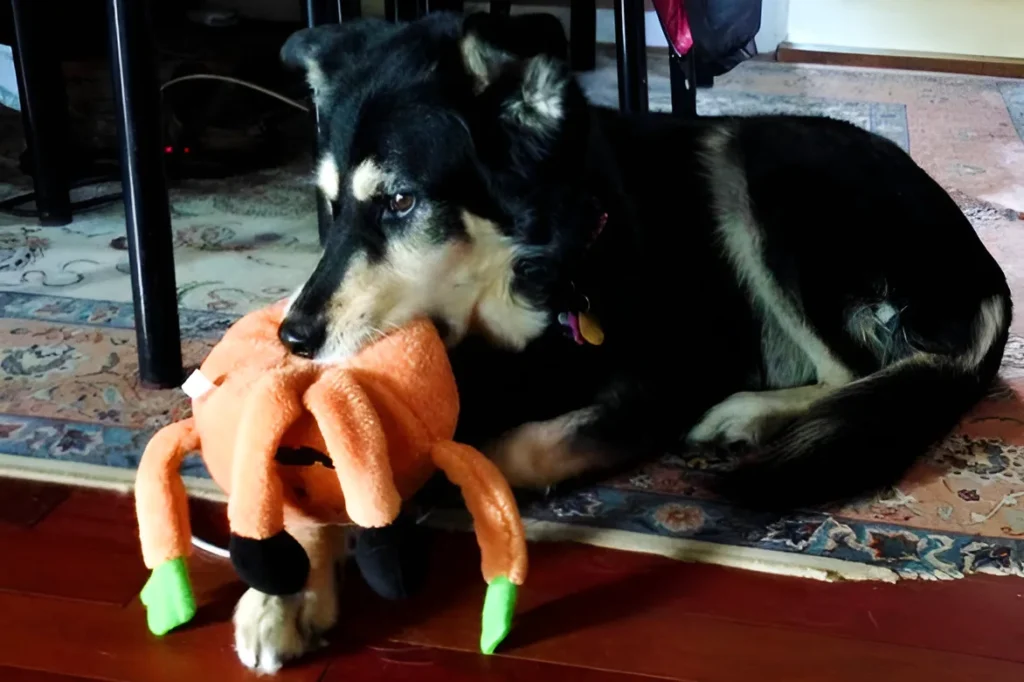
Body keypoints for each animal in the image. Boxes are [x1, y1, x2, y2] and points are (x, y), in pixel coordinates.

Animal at [230, 10, 1007, 667]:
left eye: (400, 201)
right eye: (330, 205)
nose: (293, 336)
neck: (543, 274)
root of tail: (988, 271)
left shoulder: (665, 384)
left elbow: (518, 447)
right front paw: (283, 590)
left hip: (756, 167)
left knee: (854, 372)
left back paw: (748, 415)